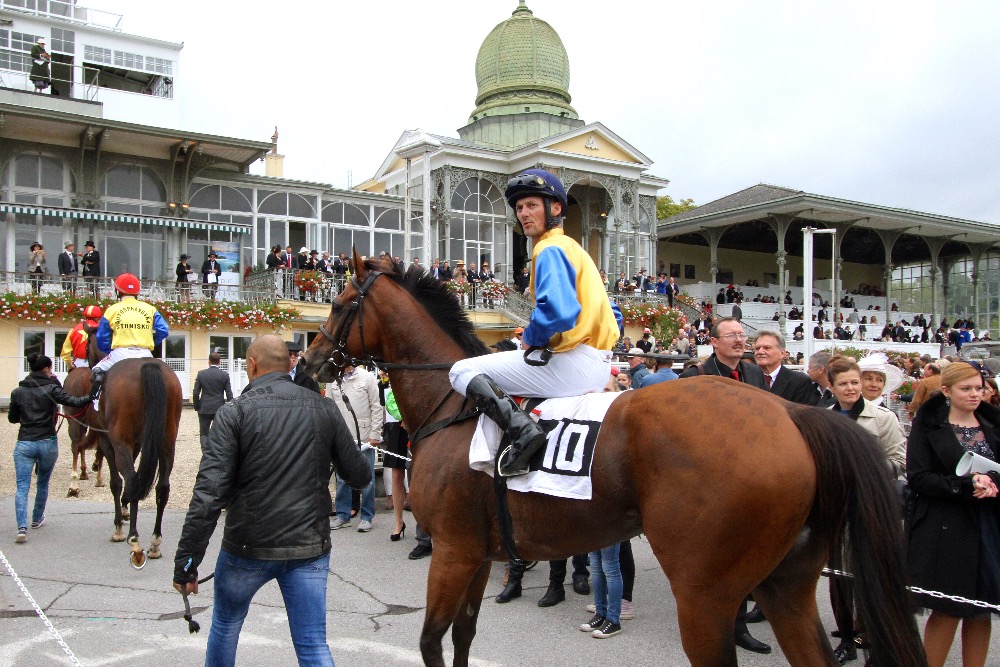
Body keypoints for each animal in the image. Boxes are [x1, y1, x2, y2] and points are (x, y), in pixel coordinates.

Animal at [86, 326, 184, 568]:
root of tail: (147, 367)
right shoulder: (138, 444)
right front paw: (125, 507)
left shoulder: (109, 442)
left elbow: (116, 482)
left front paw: (119, 526)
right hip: (167, 445)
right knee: (162, 487)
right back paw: (155, 543)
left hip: (120, 442)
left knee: (130, 479)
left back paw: (134, 539)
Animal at [300, 253, 924, 664]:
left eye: (338, 303)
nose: (308, 365)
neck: (452, 407)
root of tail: (791, 414)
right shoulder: (477, 552)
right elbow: (461, 637)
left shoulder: (453, 550)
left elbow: (431, 639)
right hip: (785, 584)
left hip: (706, 594)